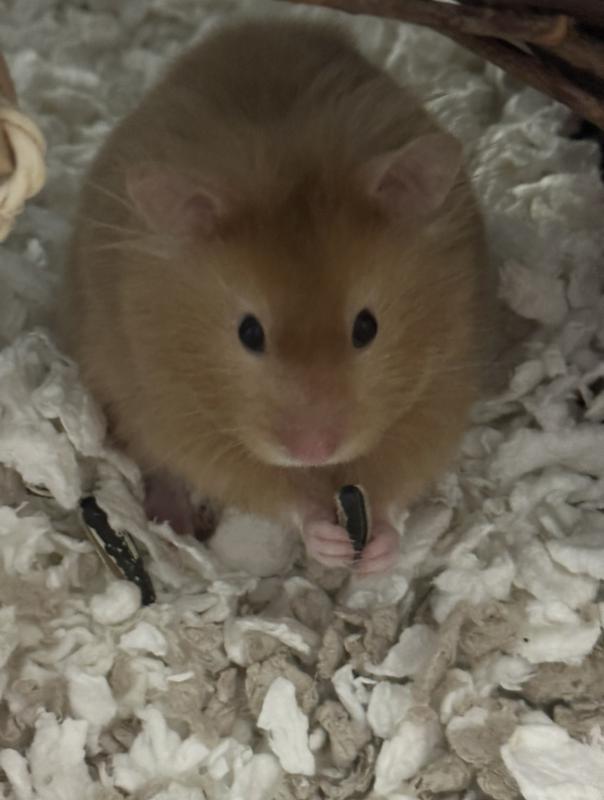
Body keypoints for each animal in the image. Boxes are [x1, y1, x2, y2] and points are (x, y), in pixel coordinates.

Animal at [60, 14, 496, 576]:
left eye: (367, 327)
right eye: (249, 333)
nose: (314, 449)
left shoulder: (437, 392)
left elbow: (392, 482)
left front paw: (375, 554)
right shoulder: (184, 413)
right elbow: (277, 491)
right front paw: (330, 542)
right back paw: (174, 521)